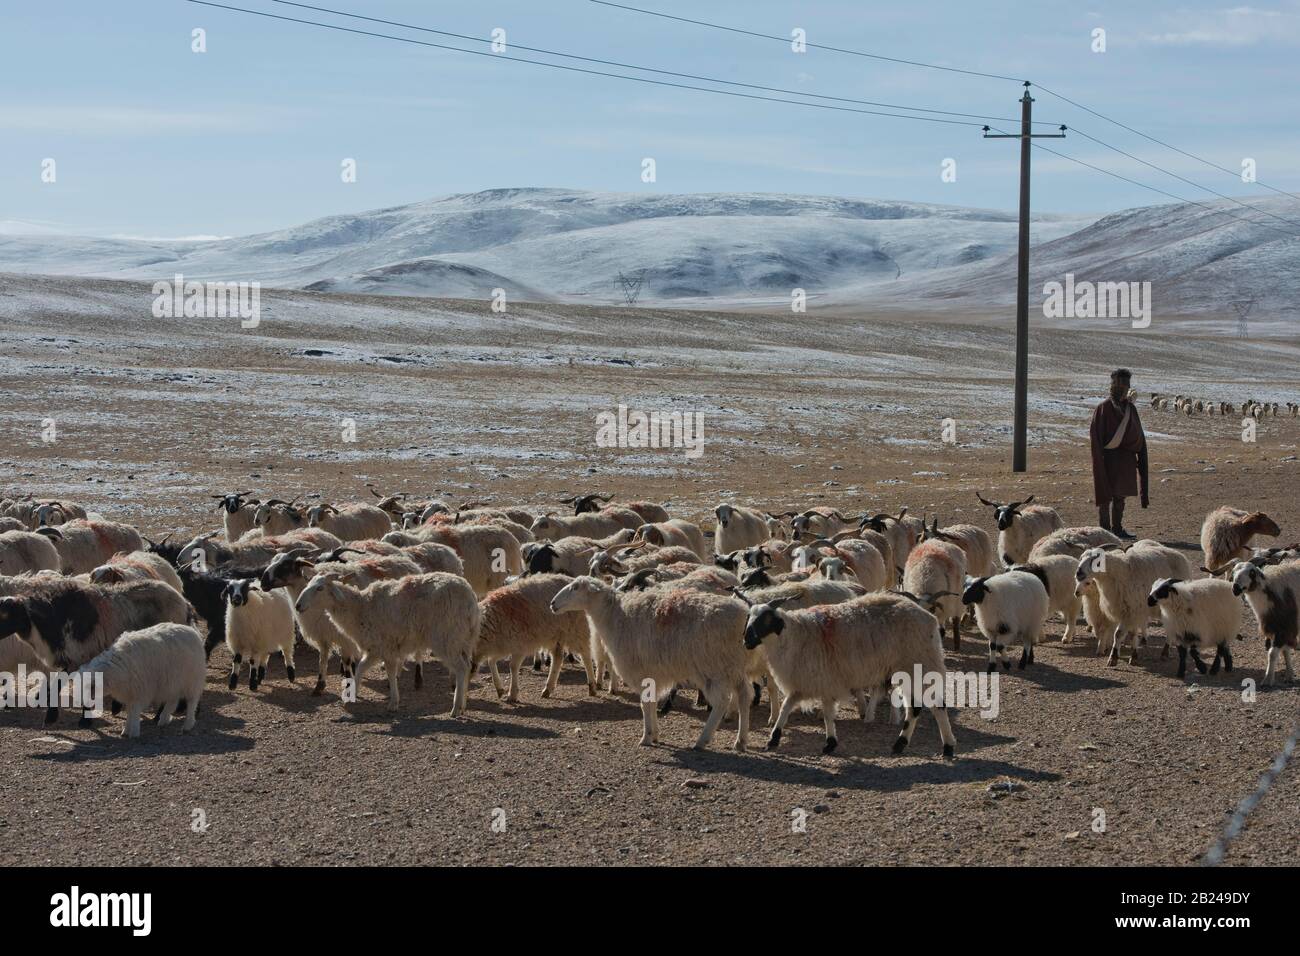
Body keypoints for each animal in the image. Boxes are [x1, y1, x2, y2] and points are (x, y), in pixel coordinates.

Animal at [0, 574, 189, 723]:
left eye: (6, 615)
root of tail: (183, 601)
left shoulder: (79, 656)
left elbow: (60, 683)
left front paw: (59, 717)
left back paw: (159, 715)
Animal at [478, 574, 598, 702]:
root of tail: (570, 578)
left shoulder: (520, 646)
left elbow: (513, 666)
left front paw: (512, 694)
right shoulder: (504, 645)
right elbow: (491, 661)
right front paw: (500, 690)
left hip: (577, 631)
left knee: (586, 657)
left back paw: (592, 686)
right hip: (556, 636)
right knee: (557, 659)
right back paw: (548, 689)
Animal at [548, 572, 754, 749]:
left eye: (575, 587)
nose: (552, 603)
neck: (613, 615)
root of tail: (743, 614)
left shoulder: (639, 669)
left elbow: (645, 704)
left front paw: (646, 737)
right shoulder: (652, 672)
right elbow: (652, 702)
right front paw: (654, 735)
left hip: (714, 667)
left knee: (721, 702)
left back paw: (702, 740)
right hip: (734, 665)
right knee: (744, 696)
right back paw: (741, 741)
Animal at [1071, 541, 1190, 671]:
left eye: (1096, 561)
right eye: (1081, 558)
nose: (1078, 573)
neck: (1119, 575)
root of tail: (1179, 554)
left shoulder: (1133, 610)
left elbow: (1120, 634)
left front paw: (1115, 658)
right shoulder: (1128, 611)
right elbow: (1128, 634)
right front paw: (1130, 656)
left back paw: (1165, 652)